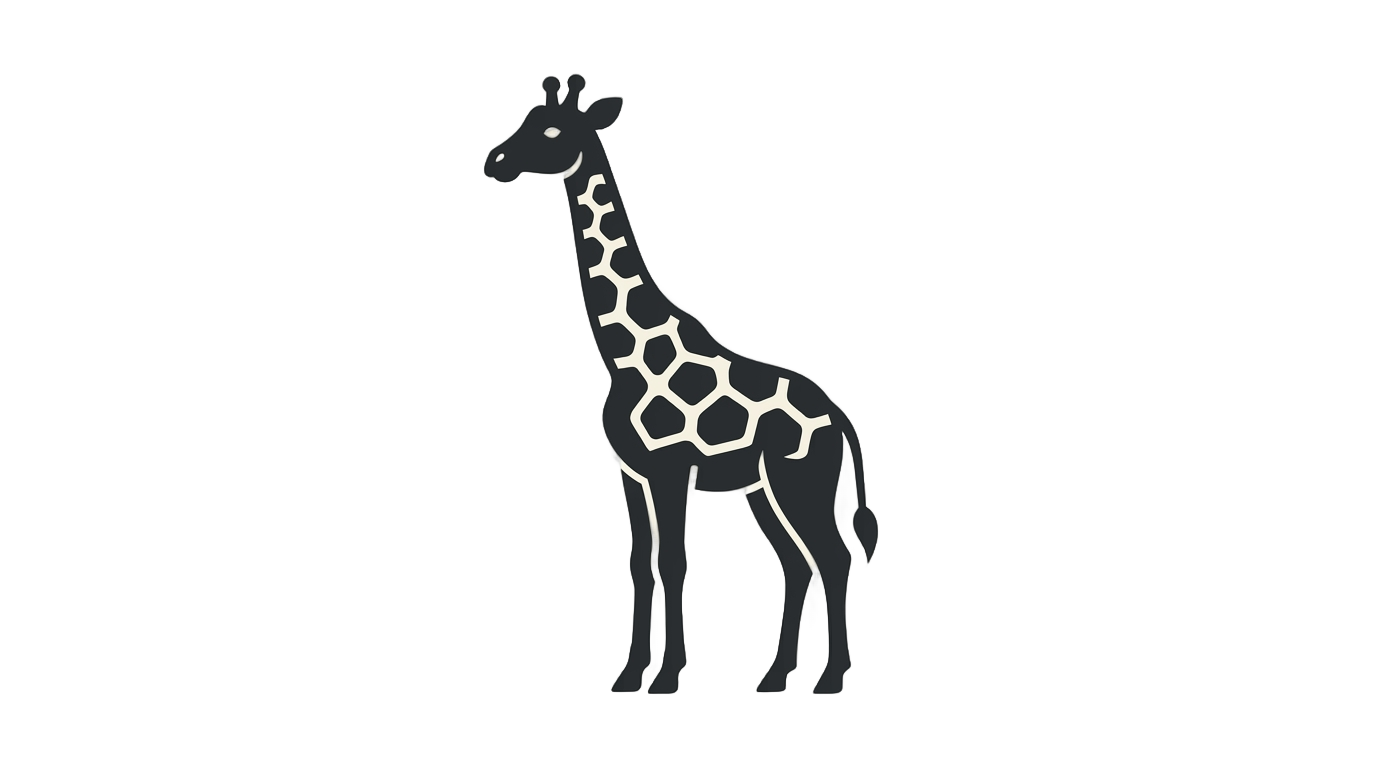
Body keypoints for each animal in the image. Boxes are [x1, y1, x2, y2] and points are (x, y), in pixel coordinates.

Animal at [484, 75, 877, 694]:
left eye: (550, 131)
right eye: (528, 120)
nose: (495, 161)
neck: (622, 355)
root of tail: (841, 421)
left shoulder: (669, 467)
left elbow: (672, 560)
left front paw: (666, 678)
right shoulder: (631, 471)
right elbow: (641, 565)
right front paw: (629, 676)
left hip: (800, 483)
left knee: (832, 559)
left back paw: (830, 681)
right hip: (765, 489)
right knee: (797, 563)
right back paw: (775, 676)